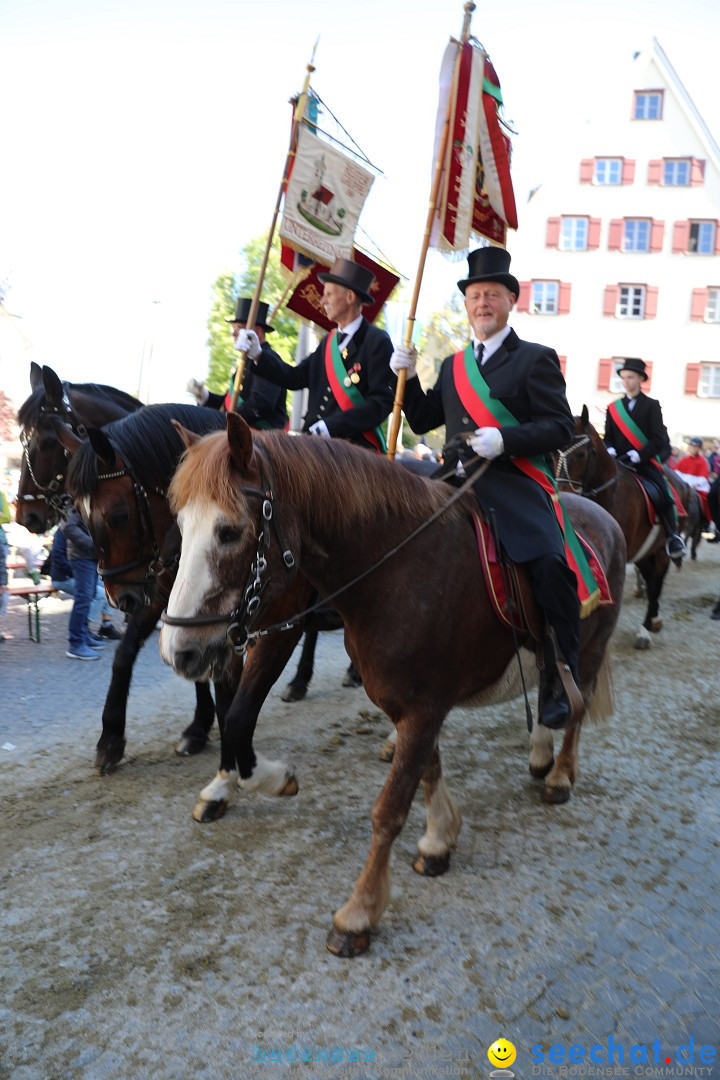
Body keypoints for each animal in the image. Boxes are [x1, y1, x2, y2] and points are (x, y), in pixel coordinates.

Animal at [158, 416, 626, 959]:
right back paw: (541, 753)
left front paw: (358, 913)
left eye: (229, 531)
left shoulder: (421, 705)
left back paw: (561, 775)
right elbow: (426, 769)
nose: (179, 650)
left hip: (590, 648)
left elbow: (391, 809)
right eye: (179, 526)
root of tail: (600, 513)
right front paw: (440, 837)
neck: (396, 569)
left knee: (578, 705)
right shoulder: (410, 702)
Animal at [557, 406, 686, 648]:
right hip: (643, 552)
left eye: (581, 454)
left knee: (656, 583)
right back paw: (654, 619)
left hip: (661, 549)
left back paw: (646, 628)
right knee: (650, 578)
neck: (609, 493)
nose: (563, 495)